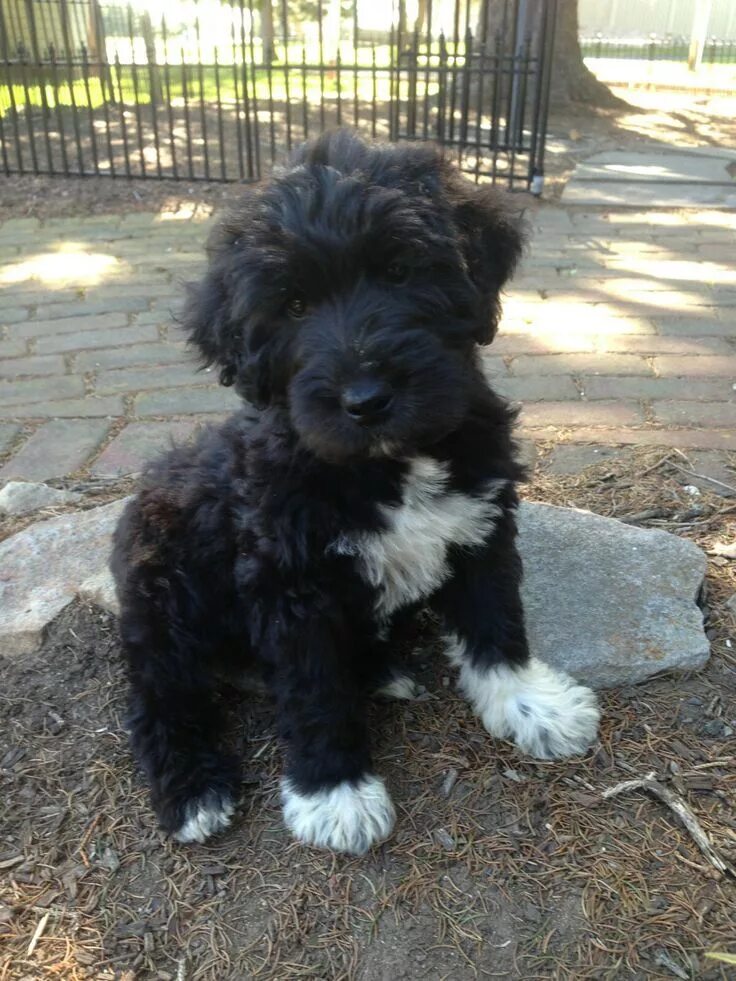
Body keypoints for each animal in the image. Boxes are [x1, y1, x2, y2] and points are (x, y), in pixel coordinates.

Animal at [113, 134, 600, 852]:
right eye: (292, 306)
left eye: (399, 271)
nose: (366, 399)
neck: (388, 464)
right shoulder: (292, 585)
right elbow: (315, 688)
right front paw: (333, 791)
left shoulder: (481, 529)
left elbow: (496, 620)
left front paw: (530, 704)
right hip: (166, 599)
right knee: (160, 698)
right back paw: (193, 787)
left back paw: (383, 671)